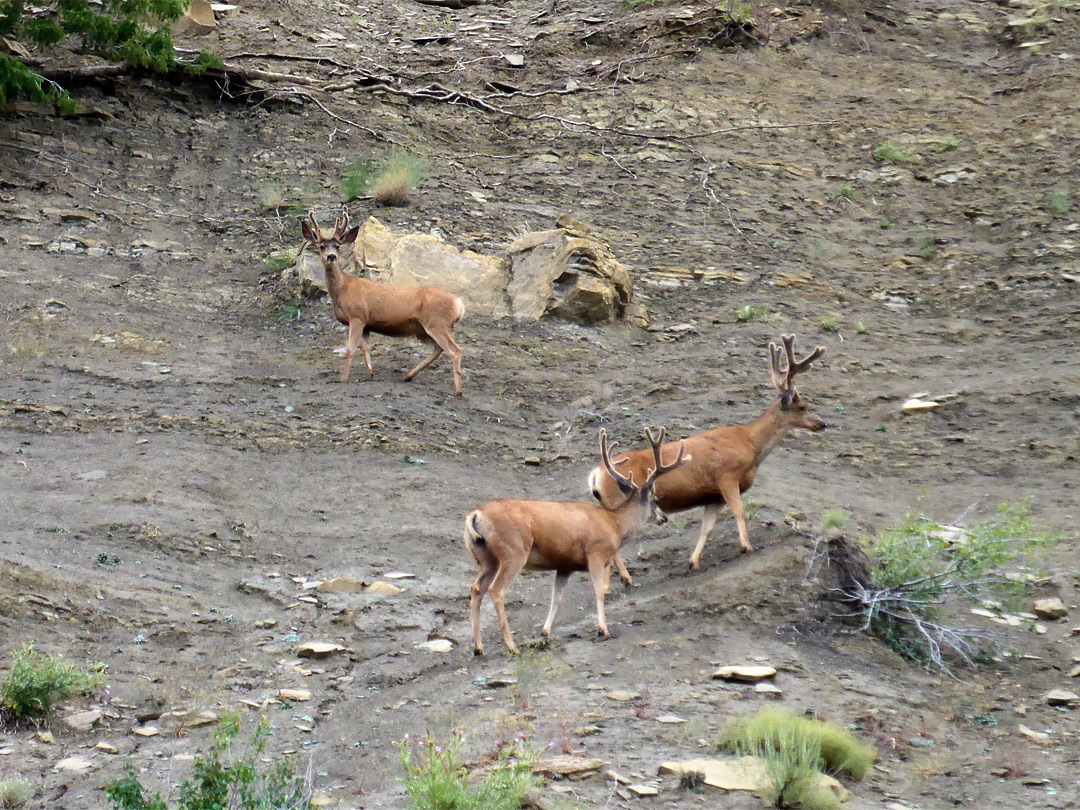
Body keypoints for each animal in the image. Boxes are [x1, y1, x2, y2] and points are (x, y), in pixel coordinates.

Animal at [300, 212, 464, 397]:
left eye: (337, 246)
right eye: (321, 246)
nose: (331, 256)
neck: (342, 289)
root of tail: (459, 304)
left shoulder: (357, 316)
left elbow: (350, 349)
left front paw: (343, 379)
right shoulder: (365, 323)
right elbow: (365, 348)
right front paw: (370, 374)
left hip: (437, 323)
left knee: (455, 350)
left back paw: (457, 390)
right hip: (422, 329)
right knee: (438, 349)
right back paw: (407, 376)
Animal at [462, 427, 682, 656]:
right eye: (655, 500)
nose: (663, 518)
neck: (615, 523)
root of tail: (475, 515)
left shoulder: (564, 565)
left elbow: (556, 598)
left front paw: (546, 631)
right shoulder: (596, 552)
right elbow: (598, 591)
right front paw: (603, 629)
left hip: (486, 558)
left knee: (476, 588)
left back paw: (478, 648)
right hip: (513, 552)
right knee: (496, 590)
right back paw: (511, 646)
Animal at [591, 334, 825, 570]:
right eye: (803, 407)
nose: (822, 423)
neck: (750, 443)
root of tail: (595, 474)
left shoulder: (714, 496)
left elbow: (707, 528)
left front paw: (693, 561)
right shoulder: (727, 475)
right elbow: (739, 511)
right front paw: (746, 546)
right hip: (618, 499)